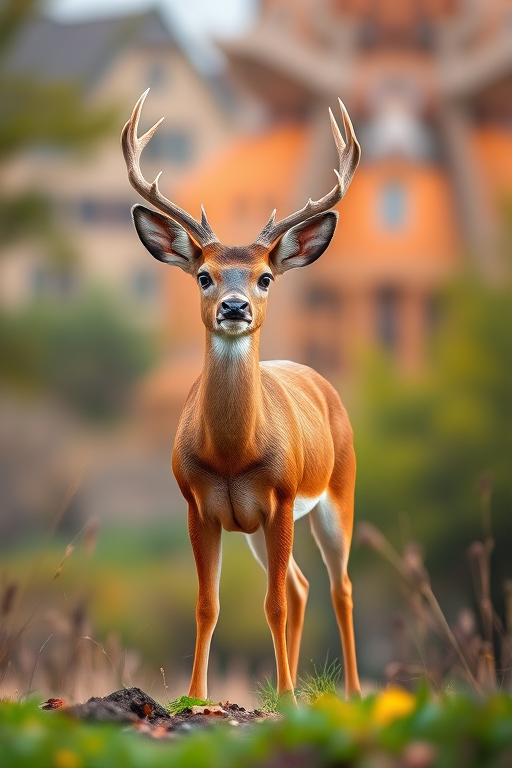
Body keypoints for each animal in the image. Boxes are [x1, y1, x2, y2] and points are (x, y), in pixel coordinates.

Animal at [121, 89, 361, 701]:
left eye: (265, 278)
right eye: (204, 275)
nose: (235, 307)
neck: (233, 454)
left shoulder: (281, 497)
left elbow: (271, 604)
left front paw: (286, 698)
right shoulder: (197, 505)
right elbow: (207, 604)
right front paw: (197, 696)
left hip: (336, 494)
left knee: (337, 586)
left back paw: (348, 693)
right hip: (257, 528)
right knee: (302, 585)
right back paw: (289, 683)